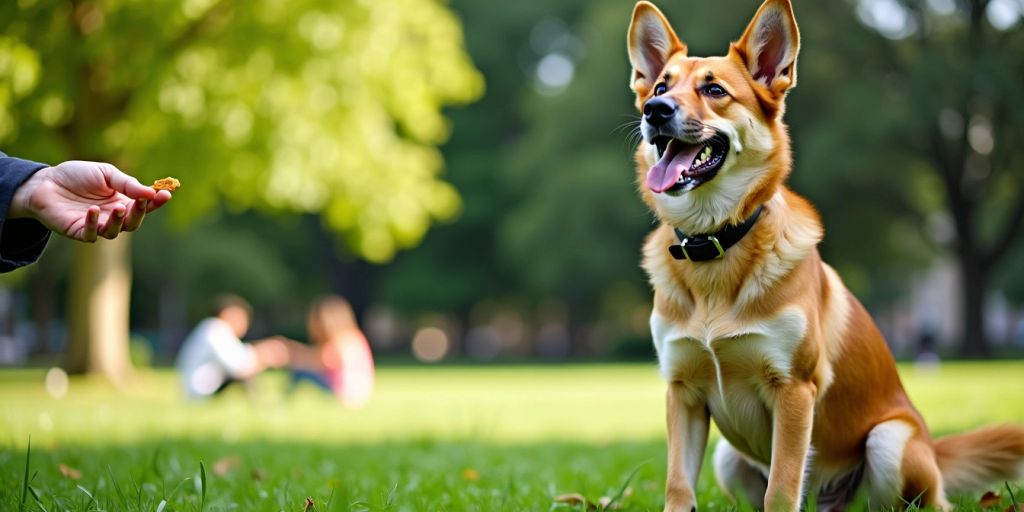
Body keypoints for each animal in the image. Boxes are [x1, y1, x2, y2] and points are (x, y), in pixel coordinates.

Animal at [622, 0, 1024, 509]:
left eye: (714, 90)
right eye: (660, 86)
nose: (654, 110)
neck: (714, 241)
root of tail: (934, 450)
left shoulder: (794, 388)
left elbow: (782, 487)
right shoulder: (682, 392)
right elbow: (678, 485)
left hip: (890, 441)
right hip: (728, 458)